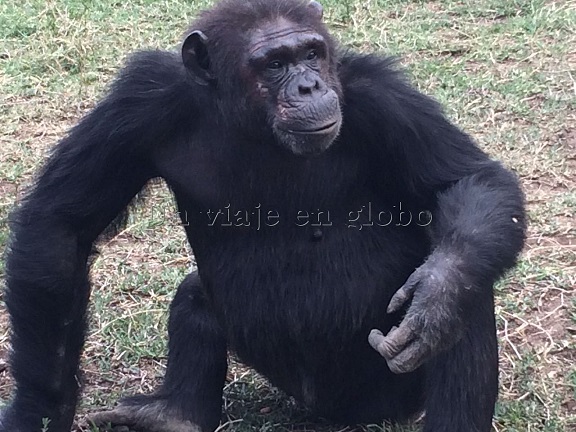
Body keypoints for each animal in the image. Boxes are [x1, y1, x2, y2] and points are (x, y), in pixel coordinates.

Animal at [0, 0, 524, 432]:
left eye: (311, 53)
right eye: (274, 64)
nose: (310, 84)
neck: (252, 123)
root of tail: (325, 412)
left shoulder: (382, 96)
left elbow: (465, 180)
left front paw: (437, 295)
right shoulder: (140, 100)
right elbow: (62, 224)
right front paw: (39, 409)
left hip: (386, 394)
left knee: (471, 305)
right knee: (195, 295)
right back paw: (173, 415)